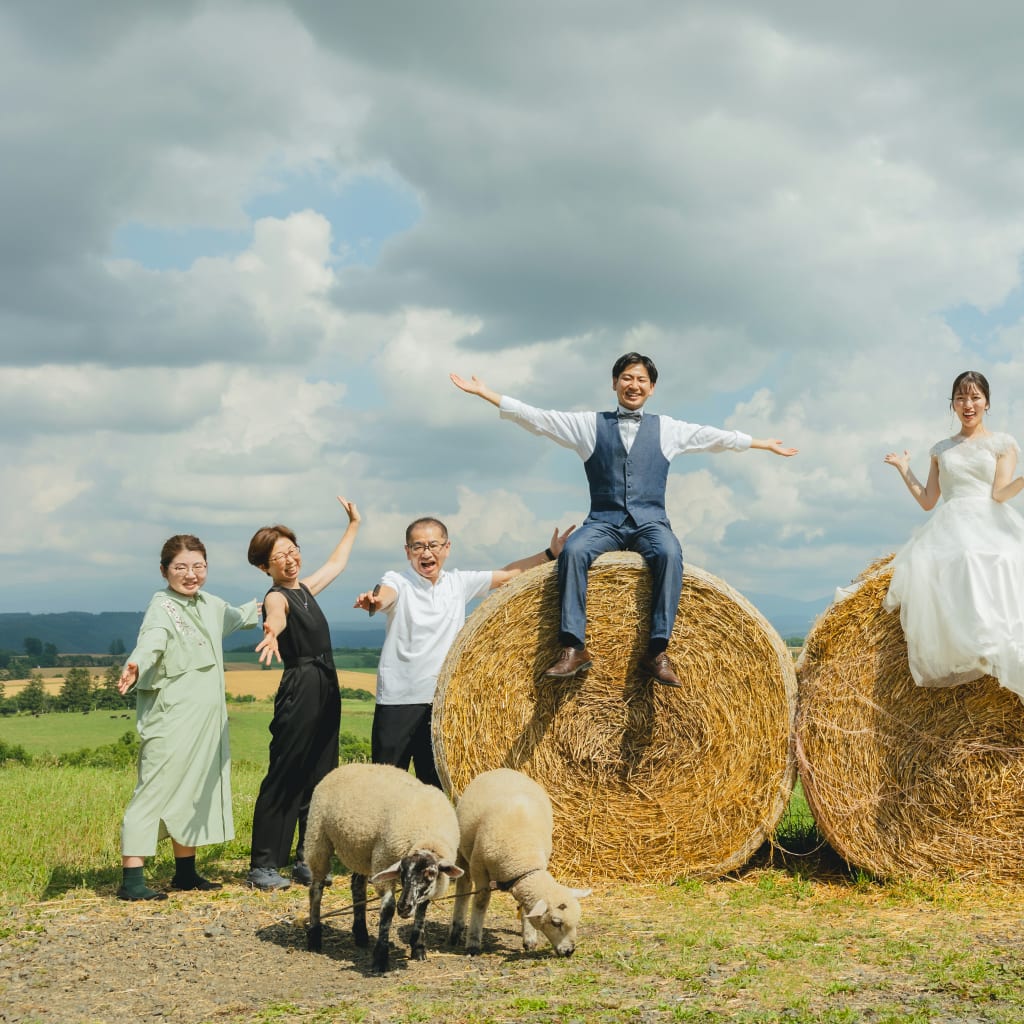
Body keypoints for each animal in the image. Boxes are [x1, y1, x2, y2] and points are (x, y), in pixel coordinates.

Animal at [303, 765, 464, 970]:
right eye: (402, 872)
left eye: (430, 873)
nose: (404, 907)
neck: (427, 837)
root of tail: (344, 767)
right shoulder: (382, 860)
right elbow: (387, 910)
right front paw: (381, 957)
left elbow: (422, 909)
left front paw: (418, 948)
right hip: (318, 837)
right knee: (316, 889)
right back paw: (315, 937)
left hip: (362, 851)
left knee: (357, 886)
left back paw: (361, 934)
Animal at [450, 770, 593, 958]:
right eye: (556, 922)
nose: (569, 951)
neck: (522, 854)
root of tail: (504, 770)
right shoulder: (479, 868)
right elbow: (480, 902)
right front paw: (473, 942)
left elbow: (526, 908)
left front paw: (529, 938)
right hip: (462, 853)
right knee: (463, 886)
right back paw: (456, 929)